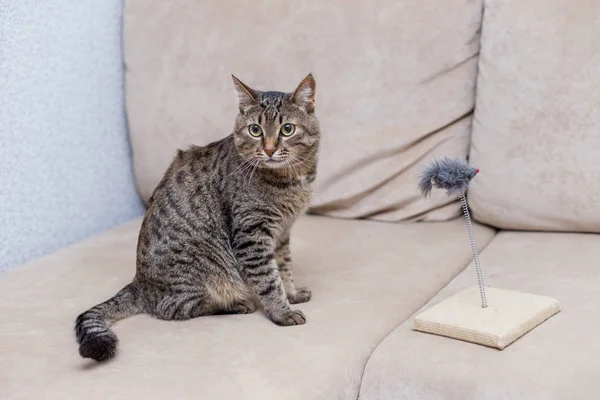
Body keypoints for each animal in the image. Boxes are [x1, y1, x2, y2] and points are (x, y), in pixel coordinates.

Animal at [76, 73, 318, 360]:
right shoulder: (252, 235)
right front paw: (282, 312)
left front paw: (291, 293)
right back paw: (236, 303)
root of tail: (138, 283)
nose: (269, 149)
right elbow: (269, 279)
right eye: (255, 130)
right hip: (203, 272)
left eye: (287, 129)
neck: (291, 180)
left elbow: (284, 266)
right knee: (176, 308)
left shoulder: (282, 233)